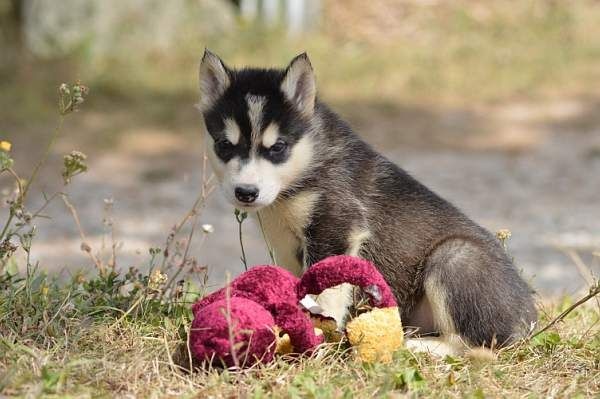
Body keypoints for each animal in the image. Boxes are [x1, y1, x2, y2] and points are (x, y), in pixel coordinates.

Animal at [198, 50, 540, 354]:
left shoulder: (337, 227)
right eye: (224, 145)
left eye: (278, 147)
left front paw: (319, 336)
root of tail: (529, 316)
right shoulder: (285, 245)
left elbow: (324, 293)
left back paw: (420, 346)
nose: (245, 192)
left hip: (455, 258)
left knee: (475, 343)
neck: (308, 163)